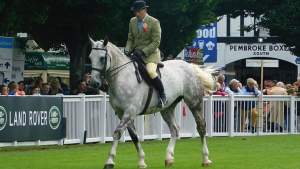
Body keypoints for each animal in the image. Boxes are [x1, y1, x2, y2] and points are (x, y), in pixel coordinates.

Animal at [89, 37, 213, 168]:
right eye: (90, 57)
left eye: (102, 58)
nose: (94, 83)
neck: (122, 76)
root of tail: (191, 66)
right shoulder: (123, 113)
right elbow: (134, 137)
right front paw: (141, 161)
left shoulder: (130, 111)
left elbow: (117, 133)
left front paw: (110, 161)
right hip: (167, 109)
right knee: (175, 129)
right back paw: (168, 158)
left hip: (194, 103)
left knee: (201, 127)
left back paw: (205, 159)